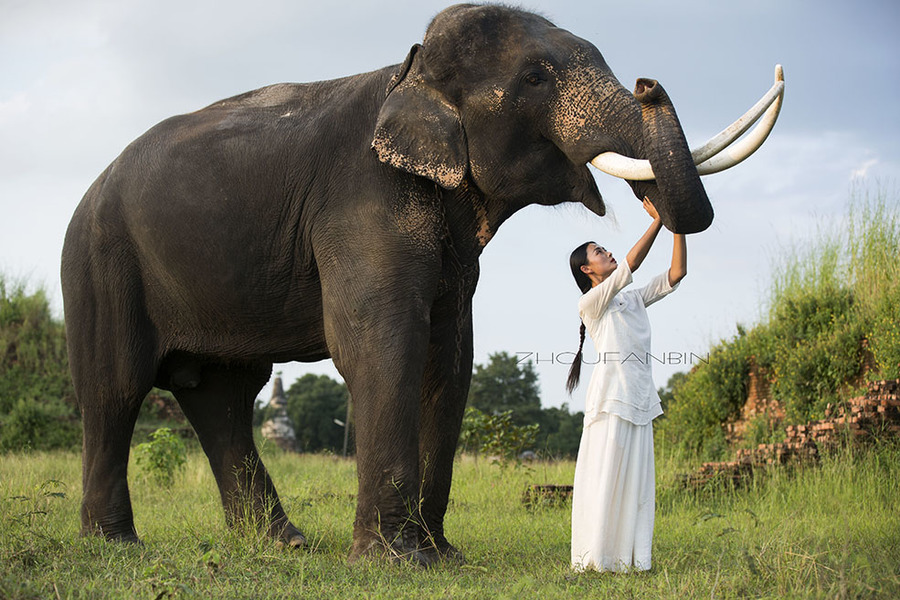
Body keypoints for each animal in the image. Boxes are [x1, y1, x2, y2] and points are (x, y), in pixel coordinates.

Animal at [61, 3, 780, 564]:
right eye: (534, 77)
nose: (651, 81)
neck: (407, 72)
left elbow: (450, 359)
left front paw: (441, 556)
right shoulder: (362, 202)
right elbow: (383, 347)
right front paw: (396, 562)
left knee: (224, 394)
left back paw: (283, 544)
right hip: (98, 261)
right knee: (117, 386)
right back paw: (116, 546)